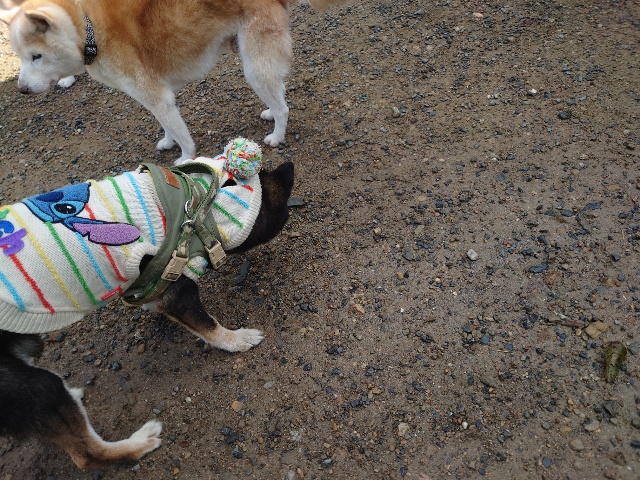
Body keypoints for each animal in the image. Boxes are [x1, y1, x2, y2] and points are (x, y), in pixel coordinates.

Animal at [0, 0, 349, 160]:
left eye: (36, 56)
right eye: (19, 56)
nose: (22, 90)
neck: (88, 31)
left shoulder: (157, 96)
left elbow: (183, 137)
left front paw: (184, 157)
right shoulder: (154, 98)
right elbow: (166, 125)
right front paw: (167, 142)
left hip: (254, 65)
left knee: (284, 107)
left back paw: (277, 135)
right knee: (278, 93)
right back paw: (268, 111)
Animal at [0, 138, 294, 469]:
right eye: (284, 212)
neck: (200, 202)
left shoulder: (153, 286)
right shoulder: (177, 291)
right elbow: (209, 326)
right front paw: (237, 339)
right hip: (36, 389)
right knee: (88, 455)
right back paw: (139, 442)